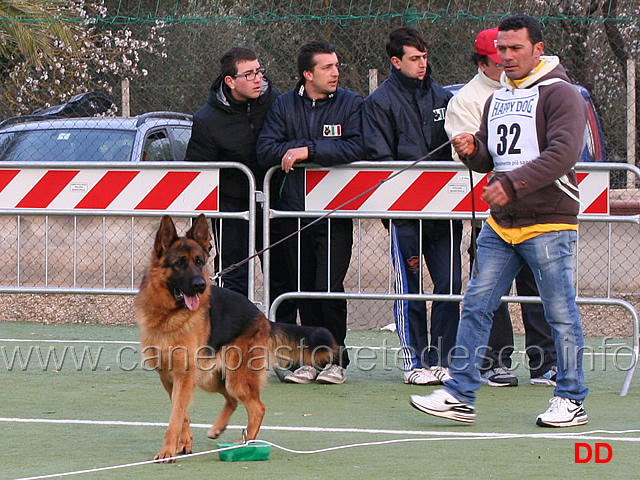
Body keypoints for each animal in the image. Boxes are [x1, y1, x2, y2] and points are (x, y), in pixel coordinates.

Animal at [136, 215, 340, 462]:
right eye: (180, 263)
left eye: (199, 262)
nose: (200, 285)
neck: (169, 316)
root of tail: (263, 317)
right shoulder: (169, 378)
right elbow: (181, 413)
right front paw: (183, 444)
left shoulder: (183, 376)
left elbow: (176, 415)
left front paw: (167, 450)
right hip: (212, 378)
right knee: (232, 400)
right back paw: (218, 430)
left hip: (235, 379)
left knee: (257, 407)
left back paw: (245, 444)